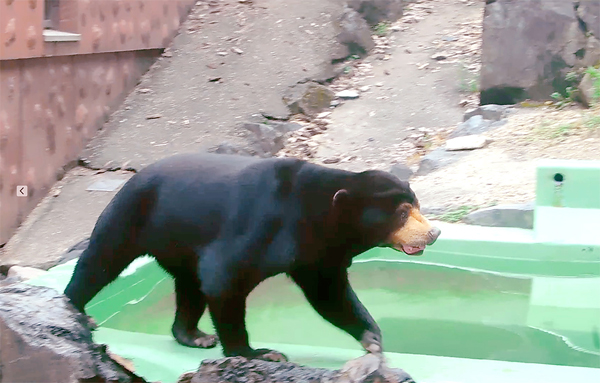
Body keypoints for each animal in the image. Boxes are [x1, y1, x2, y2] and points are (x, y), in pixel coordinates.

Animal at [64, 154, 440, 364]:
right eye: (402, 213)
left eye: (417, 205)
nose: (433, 233)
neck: (315, 218)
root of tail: (133, 177)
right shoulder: (262, 225)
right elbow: (223, 277)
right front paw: (256, 353)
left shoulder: (317, 254)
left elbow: (329, 294)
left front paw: (372, 339)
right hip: (132, 215)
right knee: (101, 261)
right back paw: (77, 313)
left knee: (189, 284)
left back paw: (193, 335)